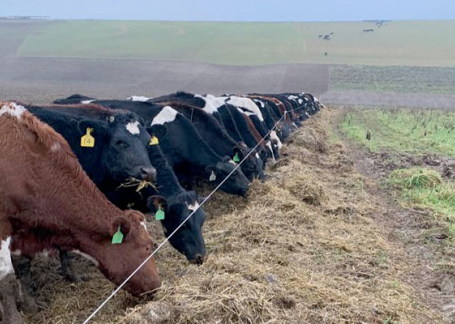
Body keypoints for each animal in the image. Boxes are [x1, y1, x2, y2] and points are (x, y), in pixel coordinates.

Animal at [0, 102, 161, 324]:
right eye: (147, 247)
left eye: (147, 142)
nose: (158, 285)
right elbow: (6, 280)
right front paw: (14, 317)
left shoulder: (22, 228)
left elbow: (23, 266)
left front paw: (29, 304)